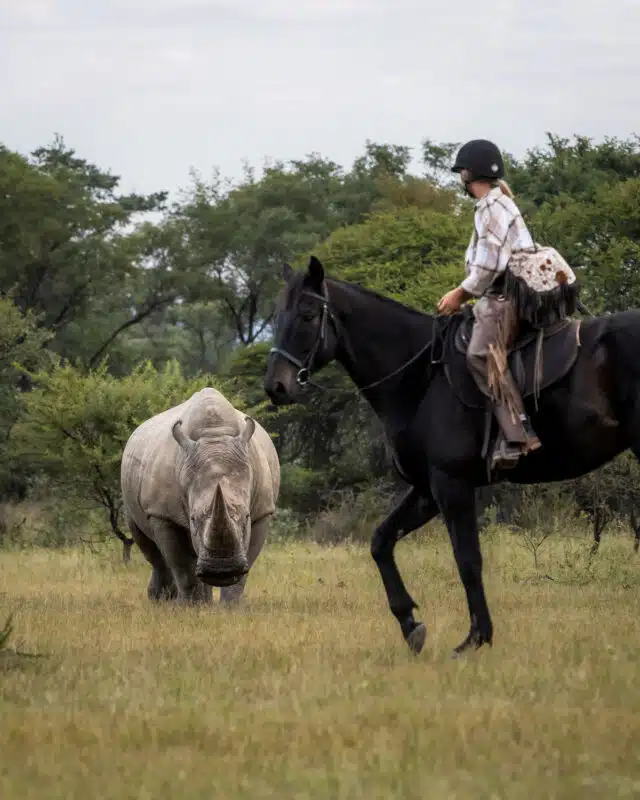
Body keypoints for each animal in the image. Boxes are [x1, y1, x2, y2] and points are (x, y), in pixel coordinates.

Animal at [121, 387, 280, 604]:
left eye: (246, 517)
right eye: (193, 519)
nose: (222, 571)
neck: (214, 435)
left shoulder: (263, 511)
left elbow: (245, 569)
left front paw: (231, 606)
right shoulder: (163, 514)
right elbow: (181, 566)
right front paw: (190, 607)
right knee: (151, 550)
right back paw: (162, 601)